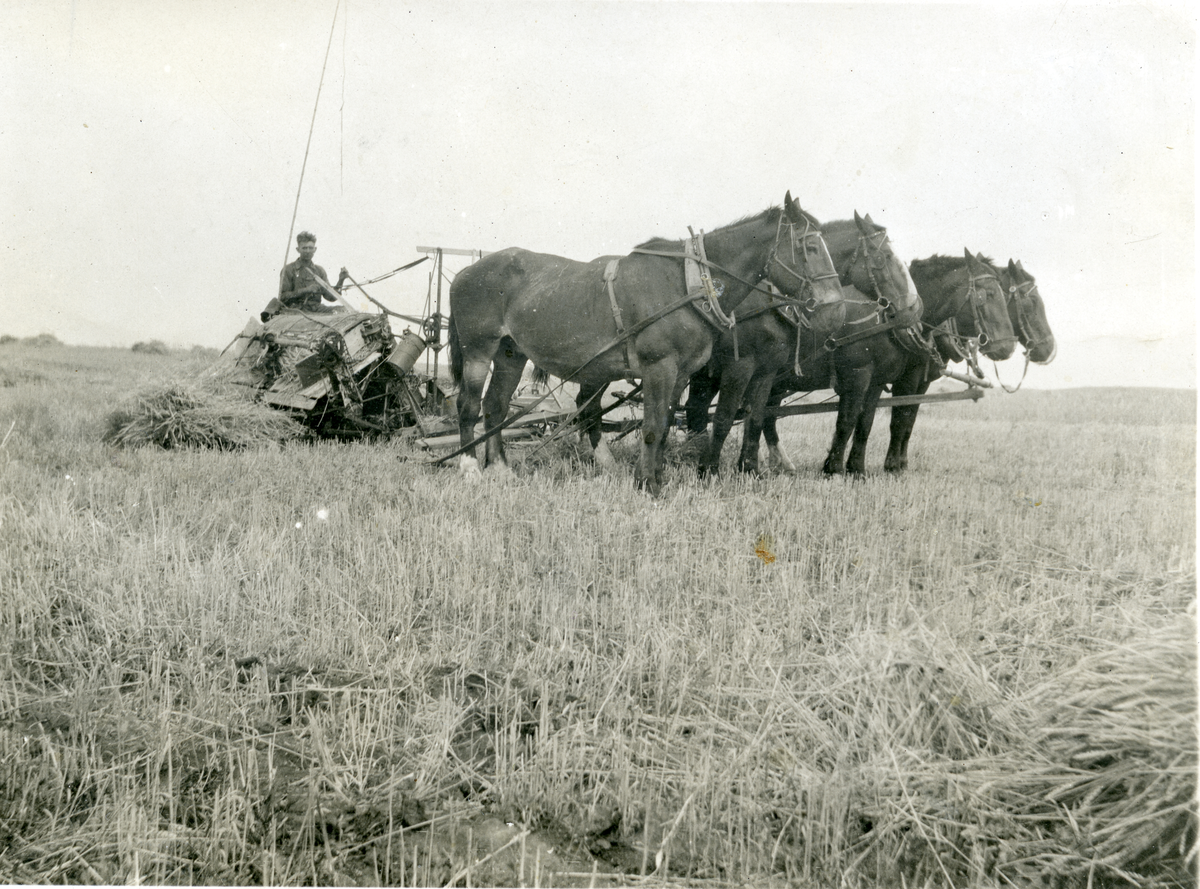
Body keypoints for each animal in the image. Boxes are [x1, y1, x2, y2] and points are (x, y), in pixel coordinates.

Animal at [446, 191, 849, 496]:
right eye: (809, 245)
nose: (835, 306)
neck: (688, 283)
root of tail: (466, 272)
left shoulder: (681, 373)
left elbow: (664, 424)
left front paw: (653, 477)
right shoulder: (660, 367)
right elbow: (653, 426)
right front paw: (647, 485)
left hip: (510, 353)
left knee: (496, 406)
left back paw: (500, 468)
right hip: (478, 349)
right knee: (469, 405)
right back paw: (469, 468)